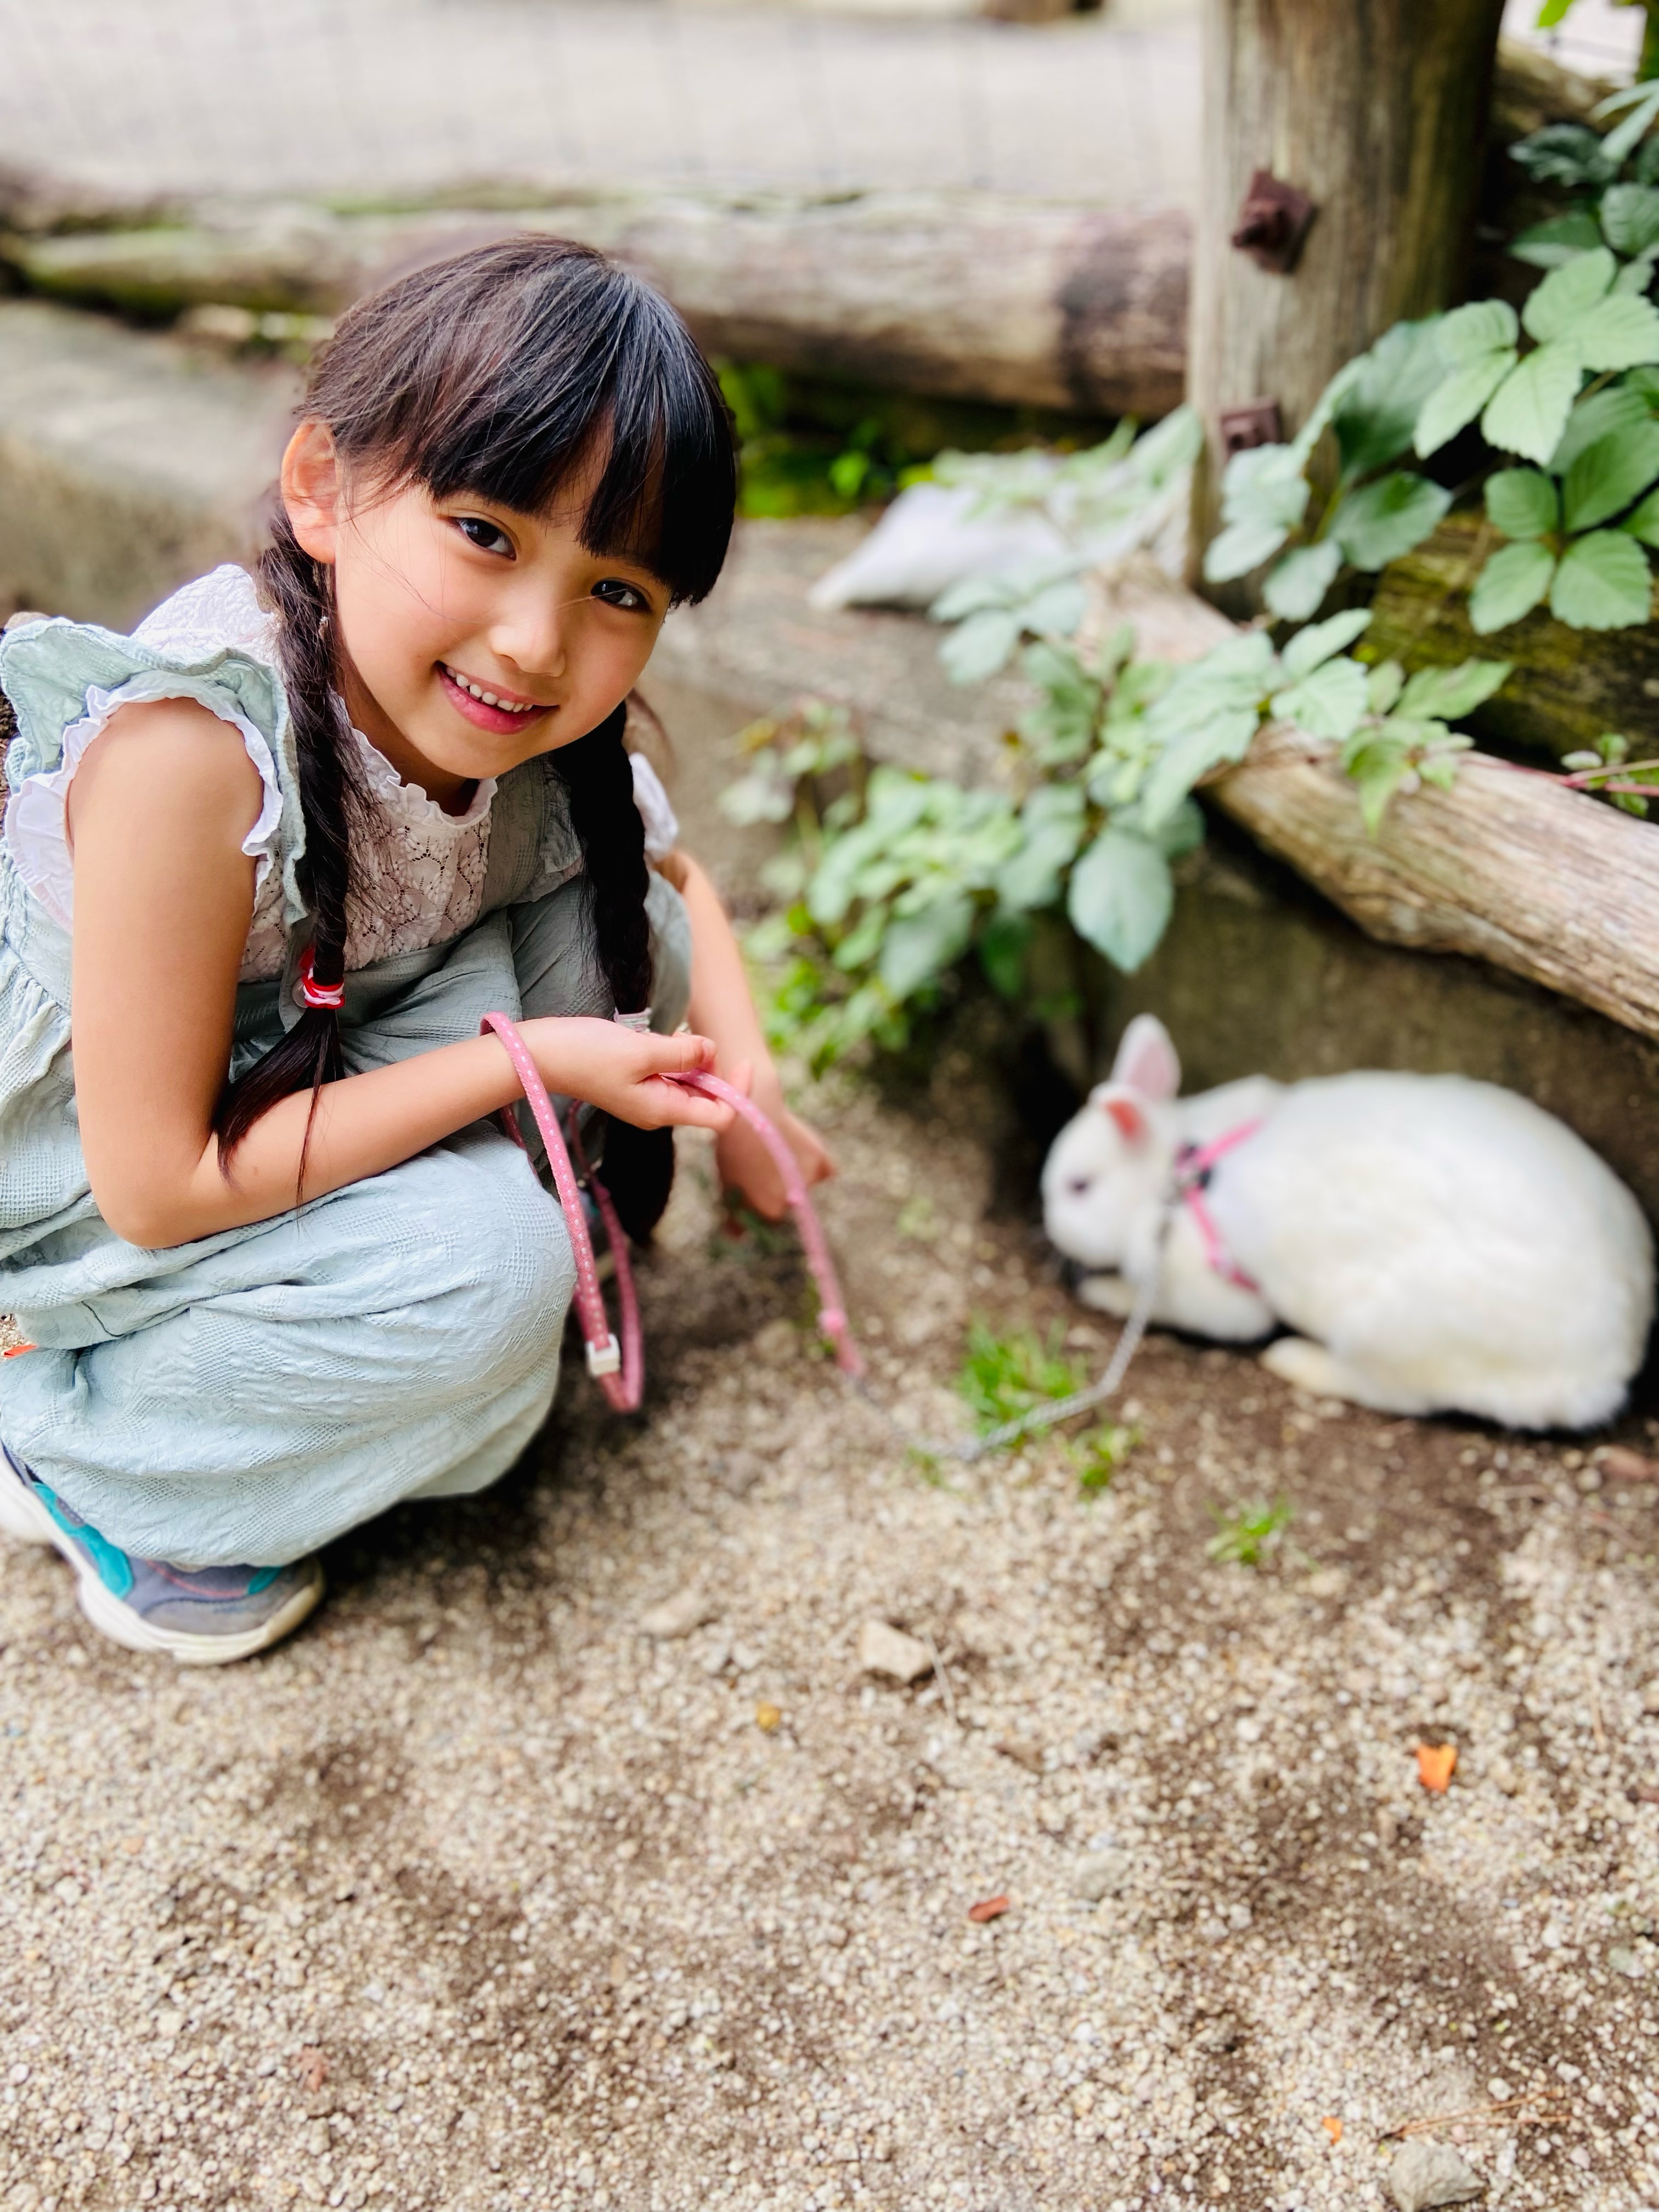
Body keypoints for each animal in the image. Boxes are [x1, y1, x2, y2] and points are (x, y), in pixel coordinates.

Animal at [1044, 1013, 1654, 1424]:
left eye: (1079, 1187)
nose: (1048, 1227)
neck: (1175, 1175)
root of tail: (1613, 1360)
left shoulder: (1205, 1293)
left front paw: (1101, 1292)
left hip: (1387, 1333)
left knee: (1395, 1394)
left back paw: (1294, 1360)